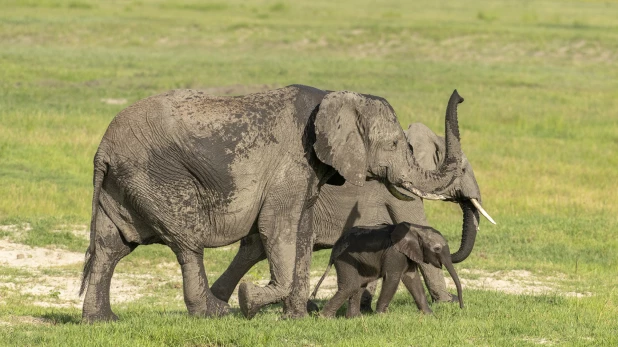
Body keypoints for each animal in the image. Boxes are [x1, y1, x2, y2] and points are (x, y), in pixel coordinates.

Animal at [312, 223, 462, 318]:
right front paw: (381, 316)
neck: (417, 229)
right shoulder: (395, 253)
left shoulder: (408, 254)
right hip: (344, 260)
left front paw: (430, 315)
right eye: (437, 248)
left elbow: (413, 280)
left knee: (359, 285)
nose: (462, 308)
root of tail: (334, 249)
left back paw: (355, 318)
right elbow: (393, 279)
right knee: (351, 286)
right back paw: (325, 318)